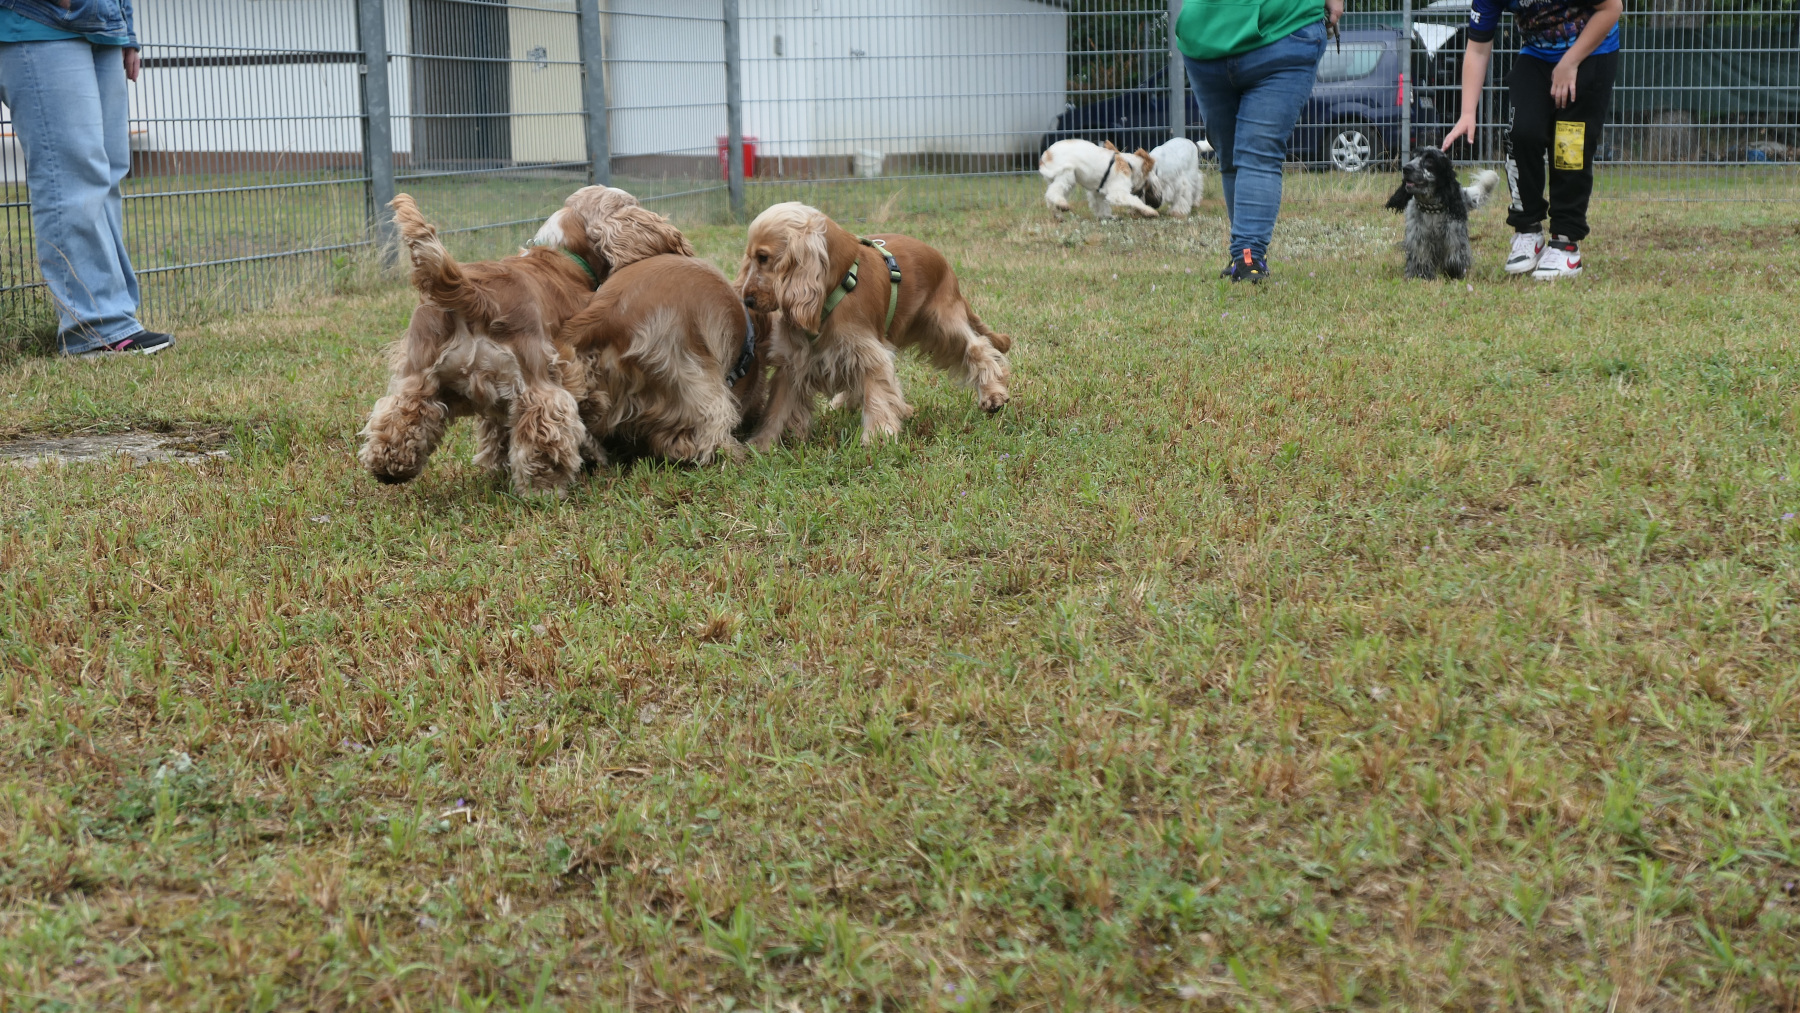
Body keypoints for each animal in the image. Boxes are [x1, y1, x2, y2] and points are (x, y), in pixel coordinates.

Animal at [358, 186, 691, 492]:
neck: (562, 254)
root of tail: (475, 293)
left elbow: (496, 430)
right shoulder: (578, 365)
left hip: (418, 375)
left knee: (400, 417)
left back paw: (391, 469)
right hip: (535, 378)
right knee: (544, 428)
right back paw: (545, 486)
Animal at [736, 201, 1011, 449]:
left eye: (763, 258)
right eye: (749, 258)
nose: (746, 299)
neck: (834, 286)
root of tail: (945, 265)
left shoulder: (866, 351)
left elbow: (877, 392)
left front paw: (879, 435)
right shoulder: (794, 360)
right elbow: (778, 407)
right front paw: (761, 445)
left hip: (942, 324)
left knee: (977, 347)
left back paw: (992, 395)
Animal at [1384, 147, 1501, 280]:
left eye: (1430, 160)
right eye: (1413, 157)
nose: (1406, 168)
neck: (1431, 209)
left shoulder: (1453, 232)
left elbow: (1455, 256)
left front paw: (1454, 273)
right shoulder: (1418, 235)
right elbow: (1420, 256)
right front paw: (1421, 275)